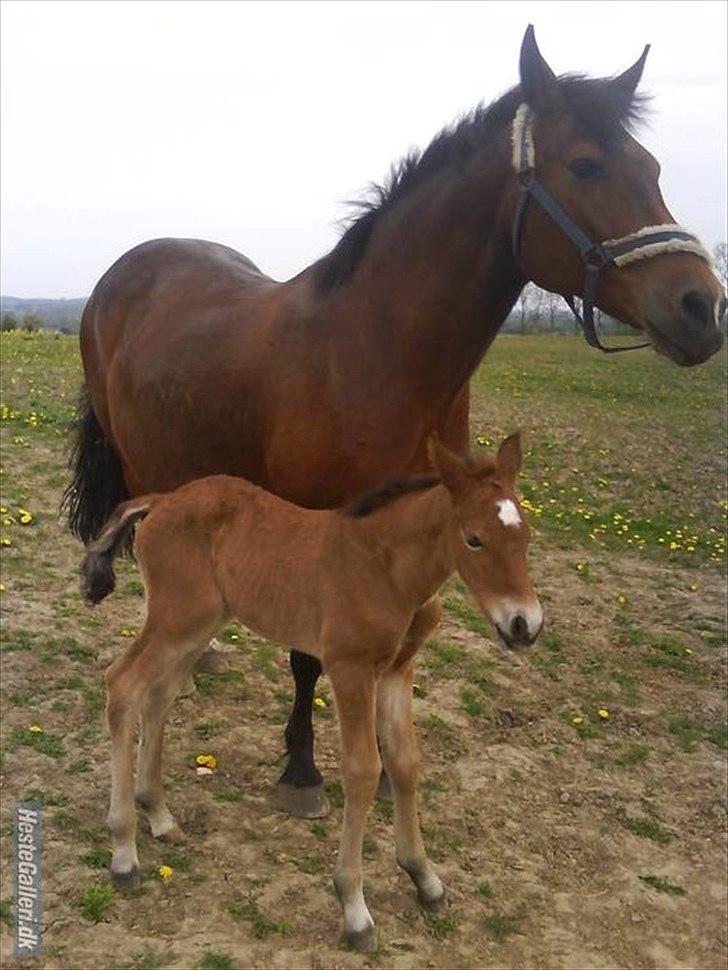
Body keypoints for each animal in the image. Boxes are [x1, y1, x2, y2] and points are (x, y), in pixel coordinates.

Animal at [64, 26, 724, 816]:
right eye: (587, 166)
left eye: (652, 167)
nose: (702, 308)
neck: (382, 350)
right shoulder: (325, 526)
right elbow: (308, 657)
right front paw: (302, 772)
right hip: (139, 459)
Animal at [84, 434, 540, 948]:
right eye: (474, 539)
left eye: (526, 538)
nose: (524, 625)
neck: (383, 567)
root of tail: (162, 500)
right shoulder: (350, 669)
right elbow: (363, 770)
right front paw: (355, 908)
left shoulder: (397, 671)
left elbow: (405, 762)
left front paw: (424, 877)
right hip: (176, 617)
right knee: (123, 685)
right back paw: (124, 852)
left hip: (199, 623)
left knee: (158, 694)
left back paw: (159, 816)